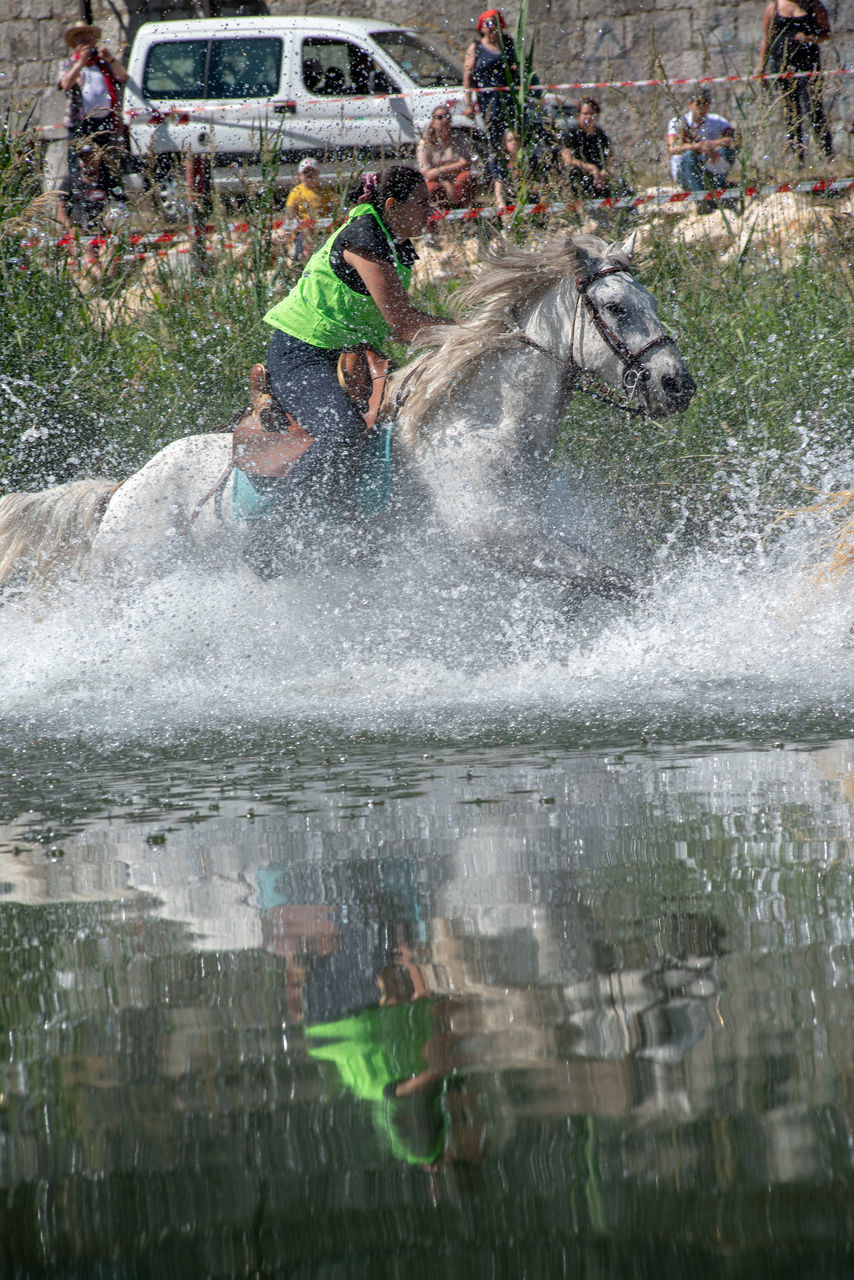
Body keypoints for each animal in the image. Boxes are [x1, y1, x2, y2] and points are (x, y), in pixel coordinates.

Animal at [0, 234, 696, 599]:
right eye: (617, 306)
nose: (679, 384)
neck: (473, 425)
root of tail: (121, 493)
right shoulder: (497, 535)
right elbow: (609, 578)